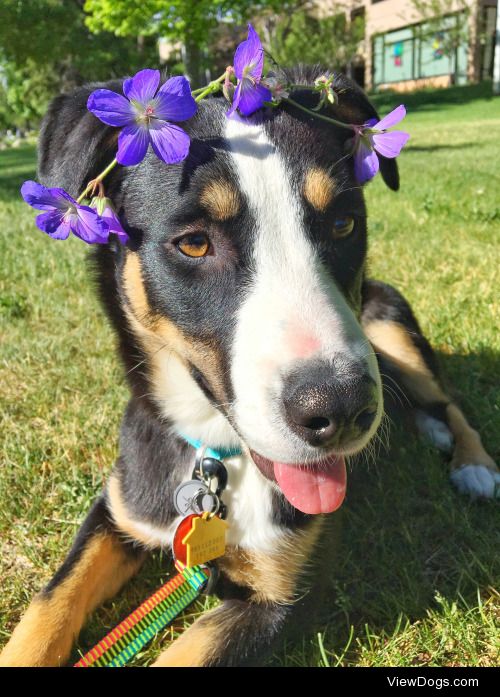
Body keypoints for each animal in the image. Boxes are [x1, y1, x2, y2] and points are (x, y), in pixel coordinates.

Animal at [1, 68, 498, 668]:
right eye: (194, 243)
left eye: (343, 223)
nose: (340, 410)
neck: (216, 458)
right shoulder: (117, 512)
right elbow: (47, 606)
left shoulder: (282, 593)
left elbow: (182, 655)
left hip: (391, 323)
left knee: (449, 402)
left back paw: (473, 463)